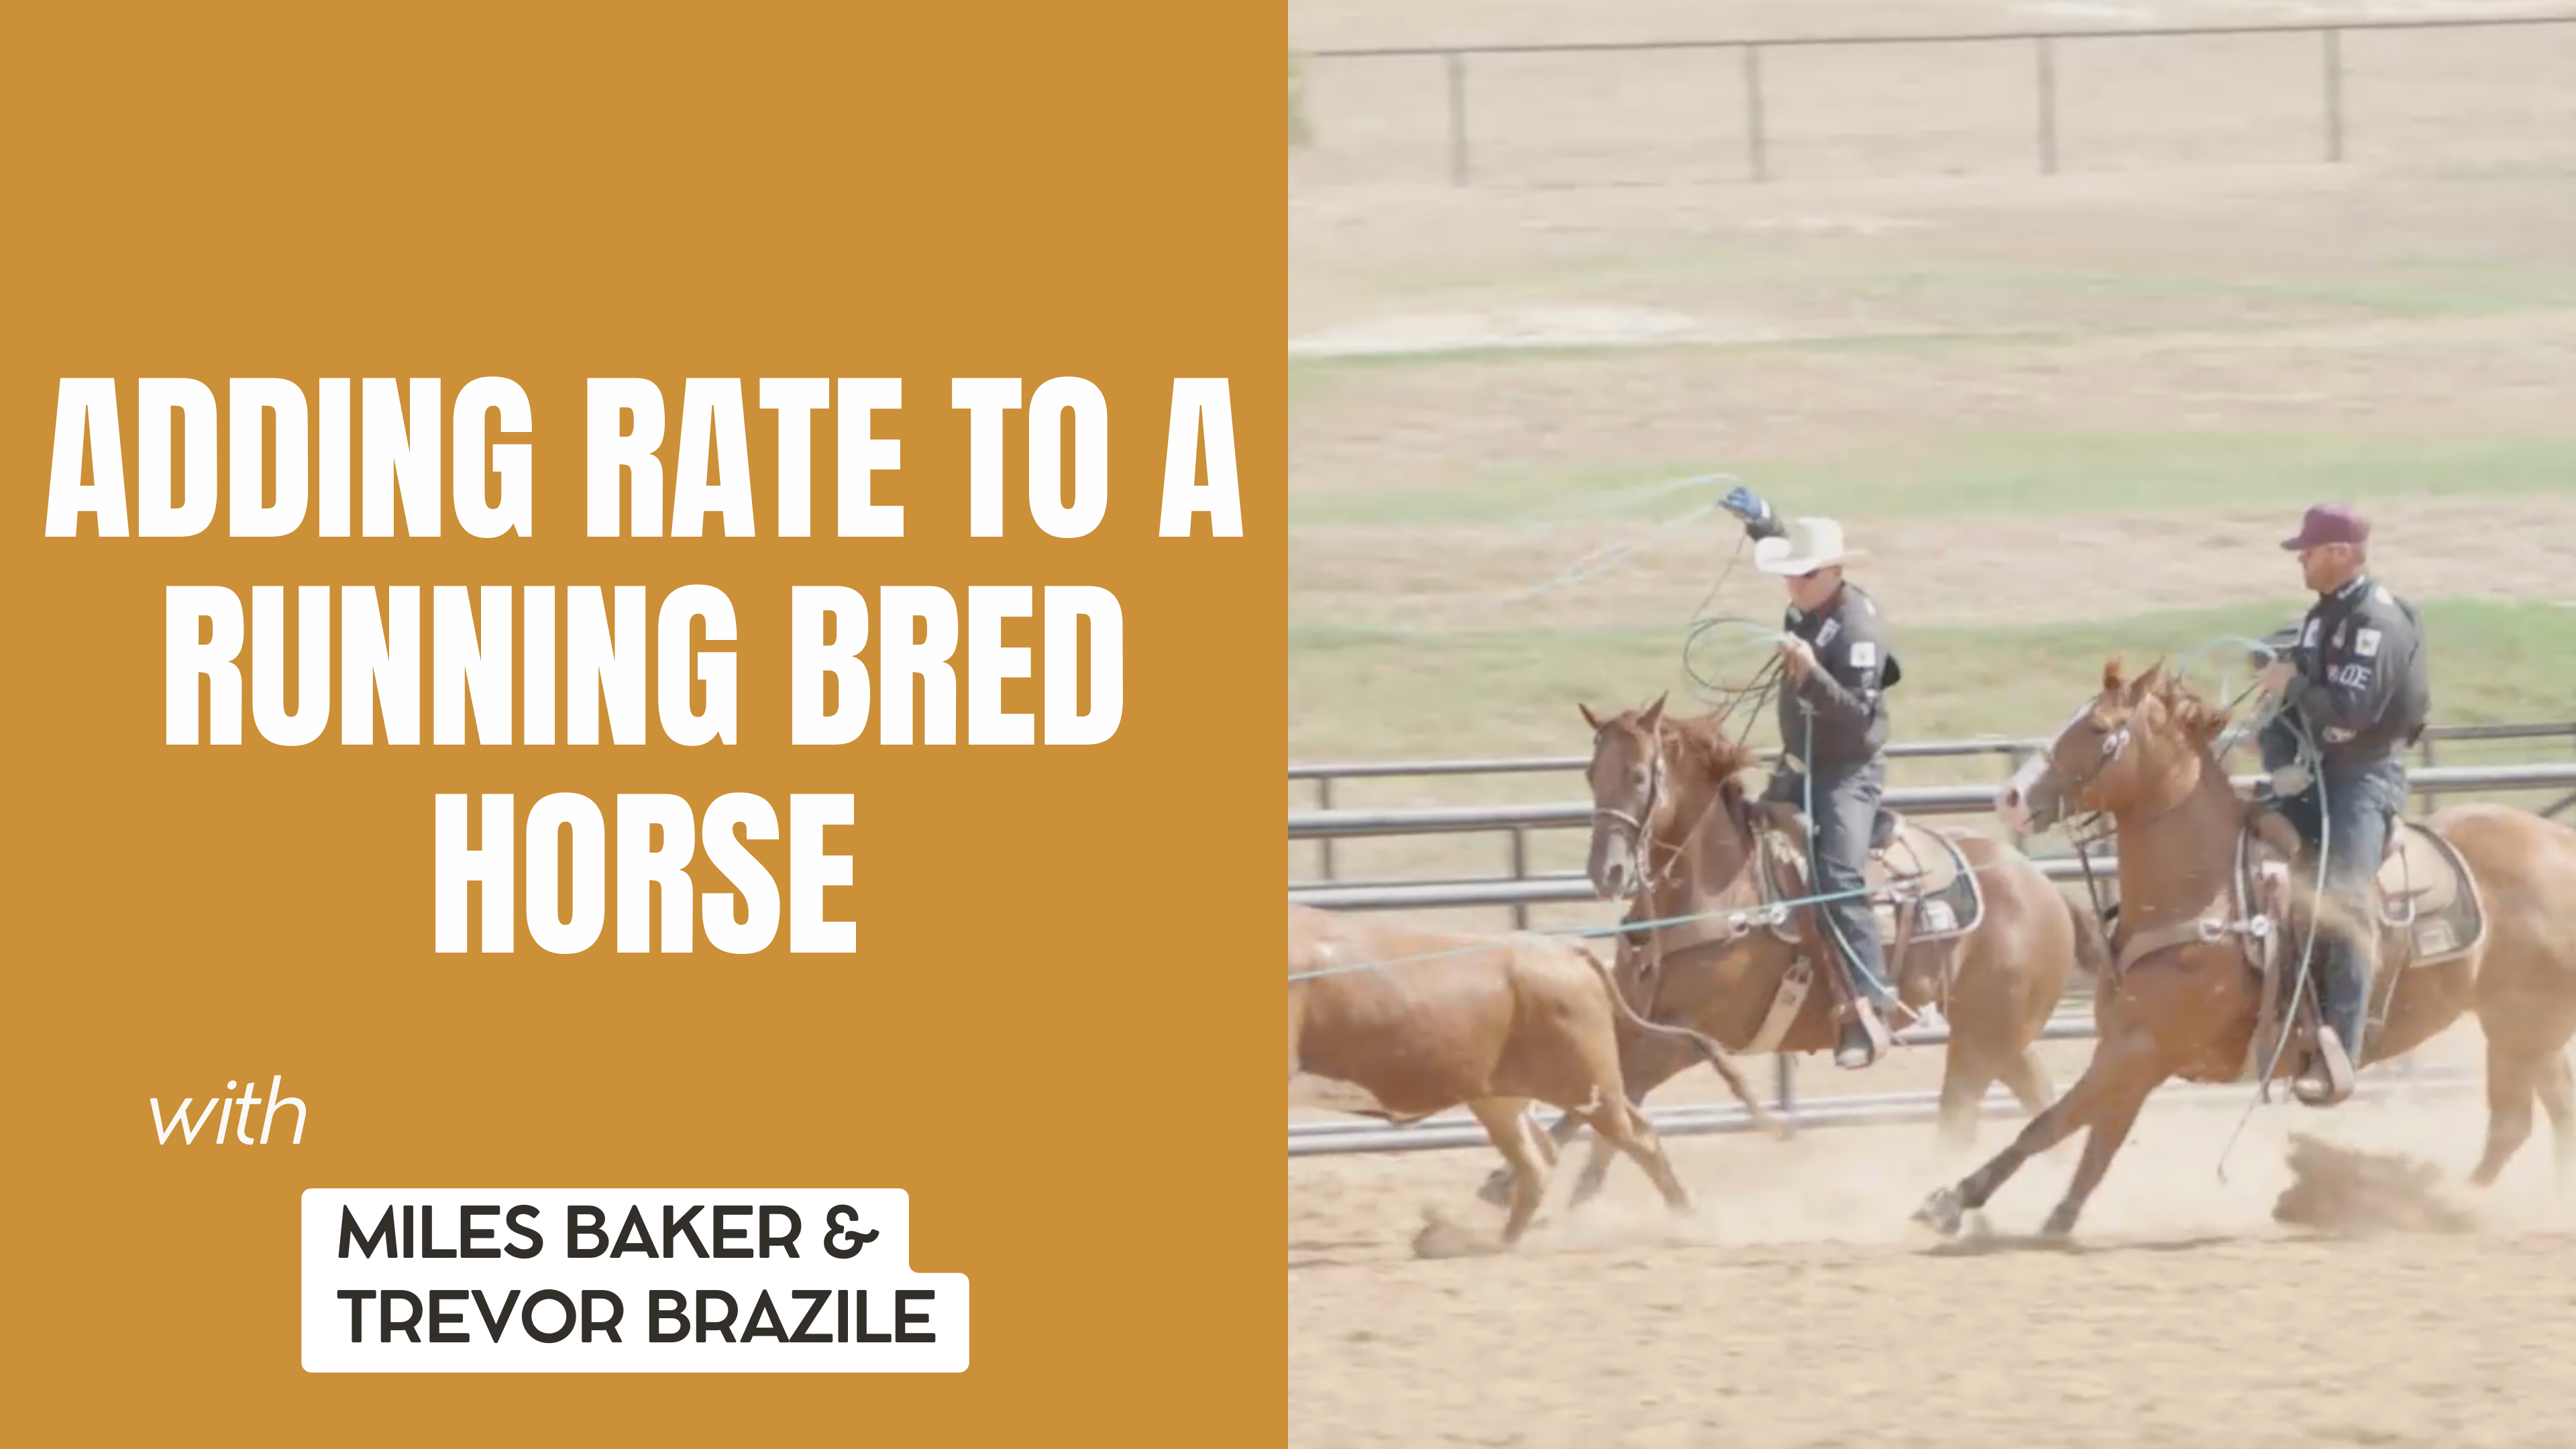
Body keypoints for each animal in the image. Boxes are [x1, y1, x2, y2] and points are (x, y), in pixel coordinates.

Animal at [1481, 695, 2104, 1210]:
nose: (1605, 872)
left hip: (1983, 1037)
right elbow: (1606, 1093)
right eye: (1592, 773)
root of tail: (2043, 885)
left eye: (1638, 776)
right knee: (2038, 1098)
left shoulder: (1691, 1037)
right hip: (1996, 1031)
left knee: (1961, 1118)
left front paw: (1516, 1183)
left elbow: (1607, 1097)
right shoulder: (1634, 1018)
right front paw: (1557, 1184)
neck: (1721, 893)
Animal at [1914, 659, 2576, 1240]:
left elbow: (2049, 1125)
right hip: (2524, 1029)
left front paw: (1950, 1200)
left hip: (2523, 1027)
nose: (2010, 798)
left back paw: (2439, 1203)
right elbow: (2093, 1146)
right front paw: (2054, 1219)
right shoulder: (2130, 1053)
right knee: (2541, 1118)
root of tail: (2557, 840)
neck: (2205, 897)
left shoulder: (2139, 1050)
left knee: (2513, 1123)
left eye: (2098, 728)